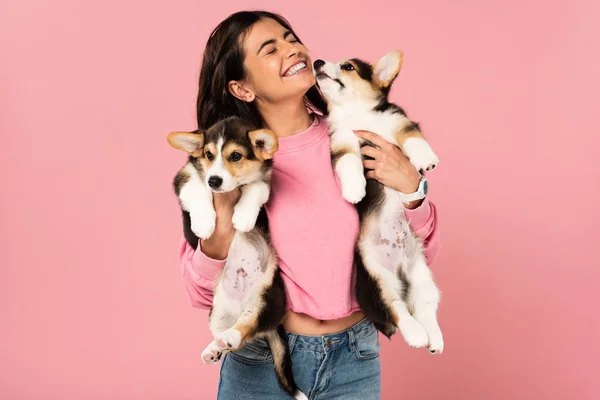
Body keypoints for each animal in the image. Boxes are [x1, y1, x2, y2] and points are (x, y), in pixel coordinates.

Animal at [166, 117, 308, 398]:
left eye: (235, 156)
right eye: (208, 155)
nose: (214, 180)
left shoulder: (264, 182)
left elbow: (254, 188)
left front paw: (242, 218)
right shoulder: (185, 176)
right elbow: (196, 190)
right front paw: (203, 224)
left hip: (266, 298)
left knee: (246, 329)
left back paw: (230, 337)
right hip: (218, 311)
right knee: (233, 338)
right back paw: (214, 348)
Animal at [314, 50, 446, 354]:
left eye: (348, 67)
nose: (316, 62)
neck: (356, 114)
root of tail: (400, 270)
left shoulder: (401, 123)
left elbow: (413, 138)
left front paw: (426, 160)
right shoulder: (342, 142)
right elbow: (349, 161)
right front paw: (354, 190)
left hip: (423, 275)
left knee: (424, 309)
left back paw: (434, 339)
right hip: (377, 279)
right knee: (398, 309)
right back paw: (417, 335)